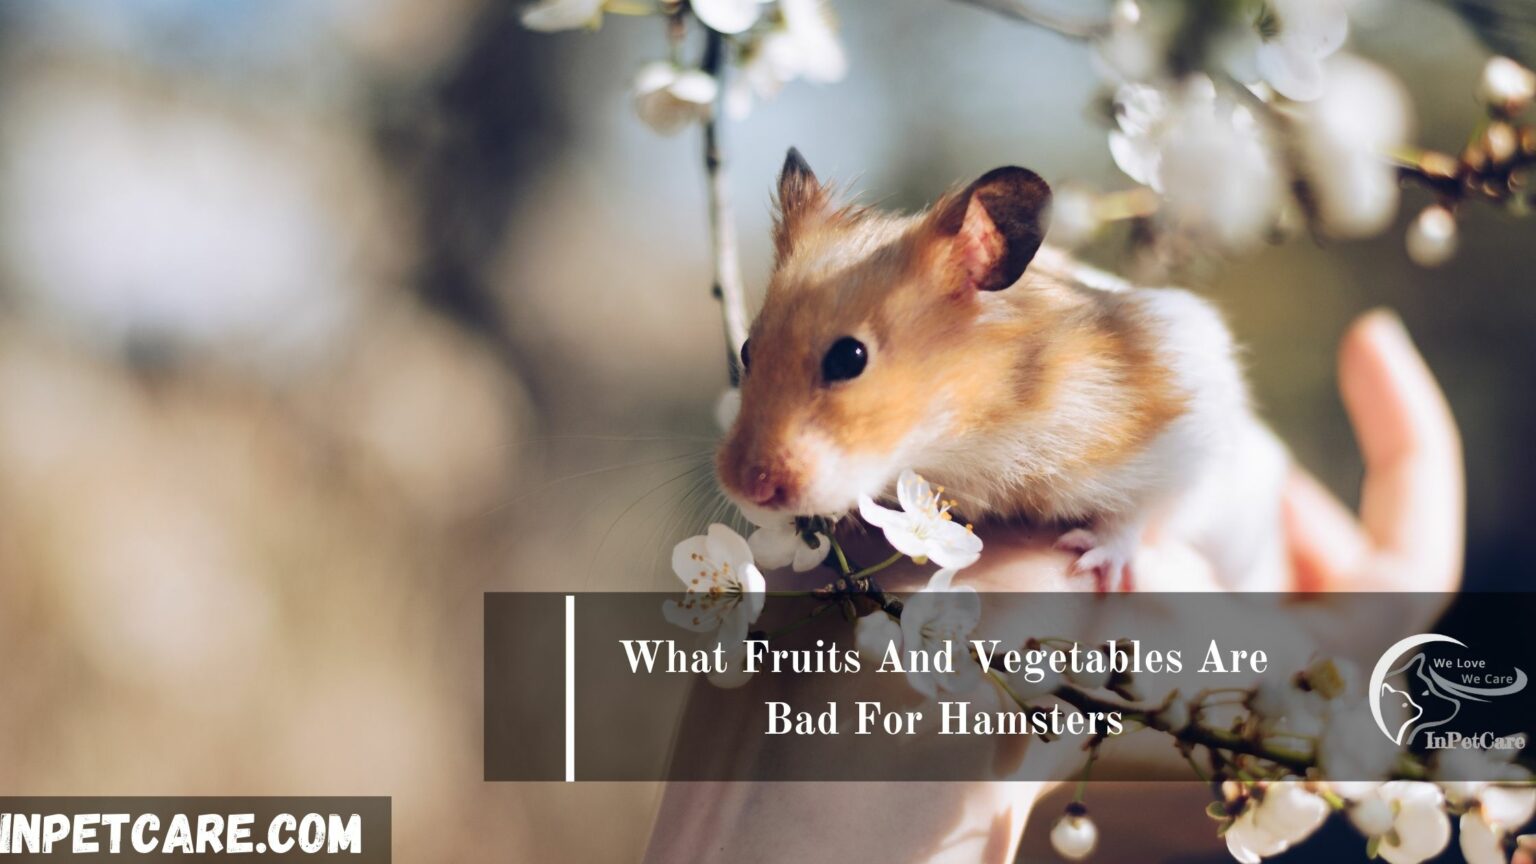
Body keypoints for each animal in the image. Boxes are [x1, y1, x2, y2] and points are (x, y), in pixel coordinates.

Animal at [716, 148, 1288, 591]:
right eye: (746, 350)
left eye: (848, 358)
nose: (746, 487)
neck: (972, 431)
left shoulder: (1188, 425)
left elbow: (1140, 511)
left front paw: (1091, 561)